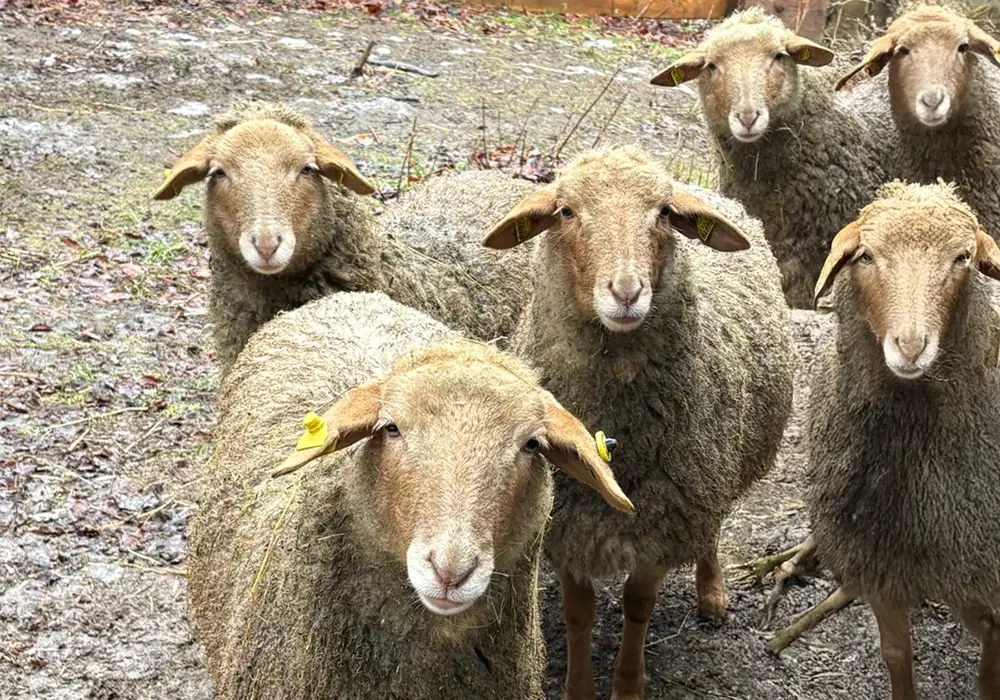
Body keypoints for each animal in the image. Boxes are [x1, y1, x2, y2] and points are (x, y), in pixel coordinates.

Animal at [482, 146, 794, 699]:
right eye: (566, 211)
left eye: (665, 213)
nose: (626, 293)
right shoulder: (570, 522)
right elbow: (579, 613)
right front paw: (579, 687)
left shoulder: (664, 518)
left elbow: (638, 607)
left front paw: (627, 684)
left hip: (714, 470)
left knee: (711, 530)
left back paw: (712, 594)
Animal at [799, 181, 1000, 698]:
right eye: (866, 256)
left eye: (963, 257)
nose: (910, 347)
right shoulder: (880, 566)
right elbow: (896, 657)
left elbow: (989, 676)